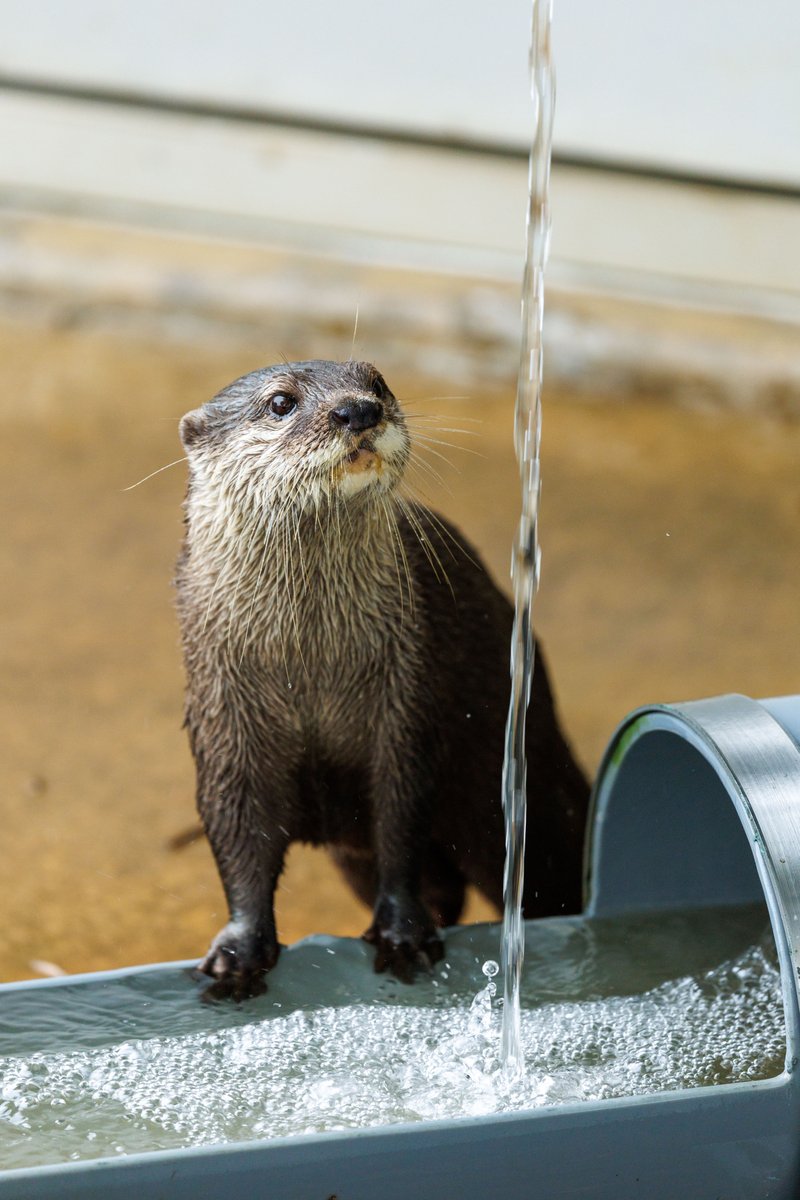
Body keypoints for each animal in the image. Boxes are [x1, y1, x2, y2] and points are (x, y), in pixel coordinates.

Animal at [176, 359, 589, 997]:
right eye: (280, 402)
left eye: (377, 382)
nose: (358, 410)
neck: (310, 672)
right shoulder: (225, 723)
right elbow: (237, 833)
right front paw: (238, 952)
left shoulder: (406, 703)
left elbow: (401, 820)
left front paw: (402, 933)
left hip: (529, 799)